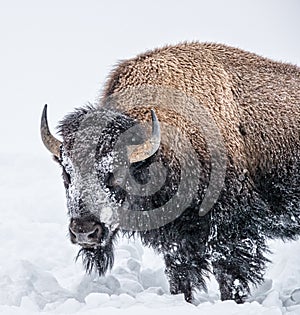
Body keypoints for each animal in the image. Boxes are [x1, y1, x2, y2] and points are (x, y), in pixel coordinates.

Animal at [40, 42, 300, 304]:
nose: (84, 231)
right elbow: (179, 274)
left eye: (115, 173)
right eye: (67, 174)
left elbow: (229, 276)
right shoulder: (175, 239)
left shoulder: (229, 231)